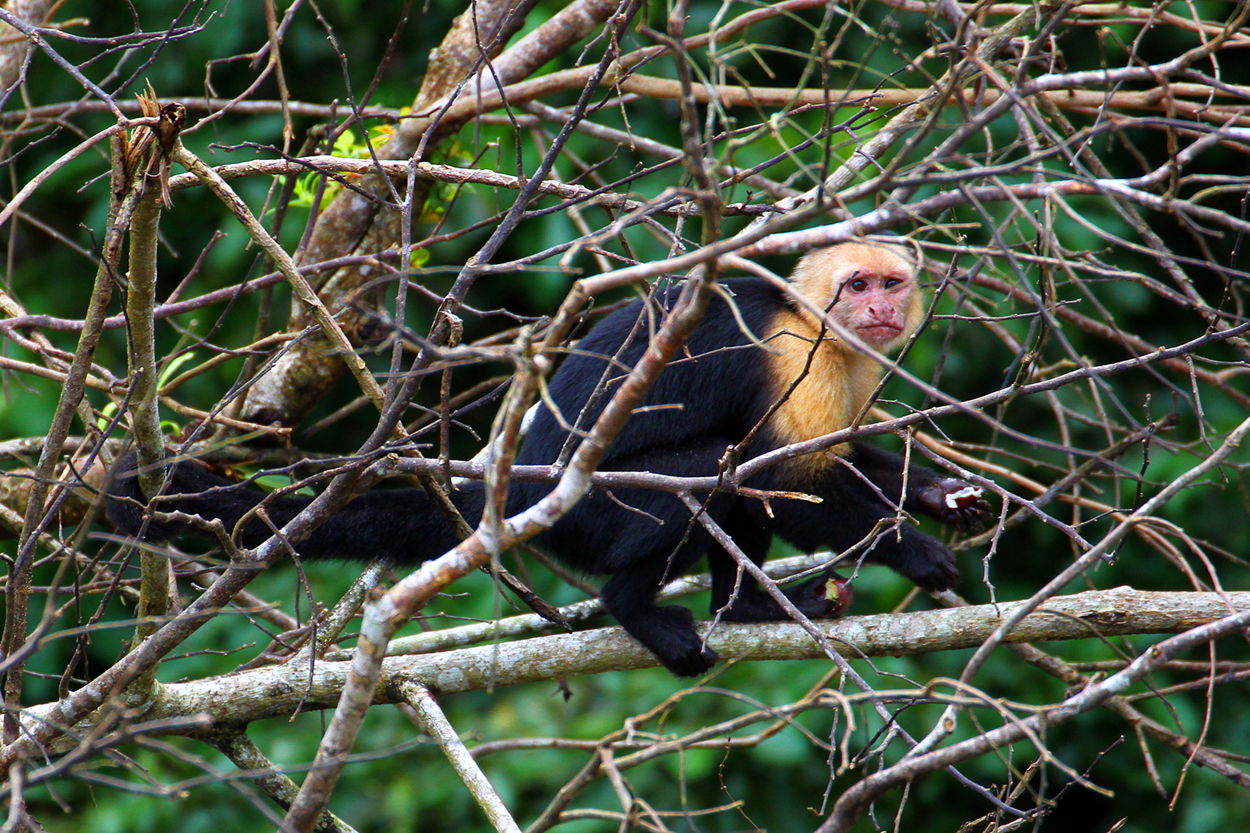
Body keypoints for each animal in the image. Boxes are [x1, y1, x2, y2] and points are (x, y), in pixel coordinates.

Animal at [110, 238, 985, 675]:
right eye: (858, 283)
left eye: (891, 284)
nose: (880, 307)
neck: (818, 321)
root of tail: (508, 496)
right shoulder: (794, 350)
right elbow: (785, 477)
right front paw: (916, 550)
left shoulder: (848, 363)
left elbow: (839, 459)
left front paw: (940, 494)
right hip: (590, 515)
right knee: (710, 466)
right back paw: (639, 607)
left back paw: (746, 608)